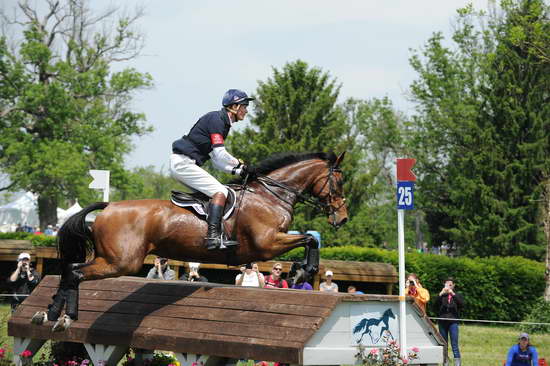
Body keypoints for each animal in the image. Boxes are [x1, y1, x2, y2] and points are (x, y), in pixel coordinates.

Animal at [31, 150, 350, 330]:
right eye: (340, 180)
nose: (343, 218)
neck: (270, 194)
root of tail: (107, 207)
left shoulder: (270, 243)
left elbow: (309, 240)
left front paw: (299, 271)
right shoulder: (266, 244)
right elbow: (310, 240)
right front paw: (302, 271)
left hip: (112, 260)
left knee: (68, 270)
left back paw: (48, 314)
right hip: (121, 262)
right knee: (75, 272)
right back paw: (67, 317)